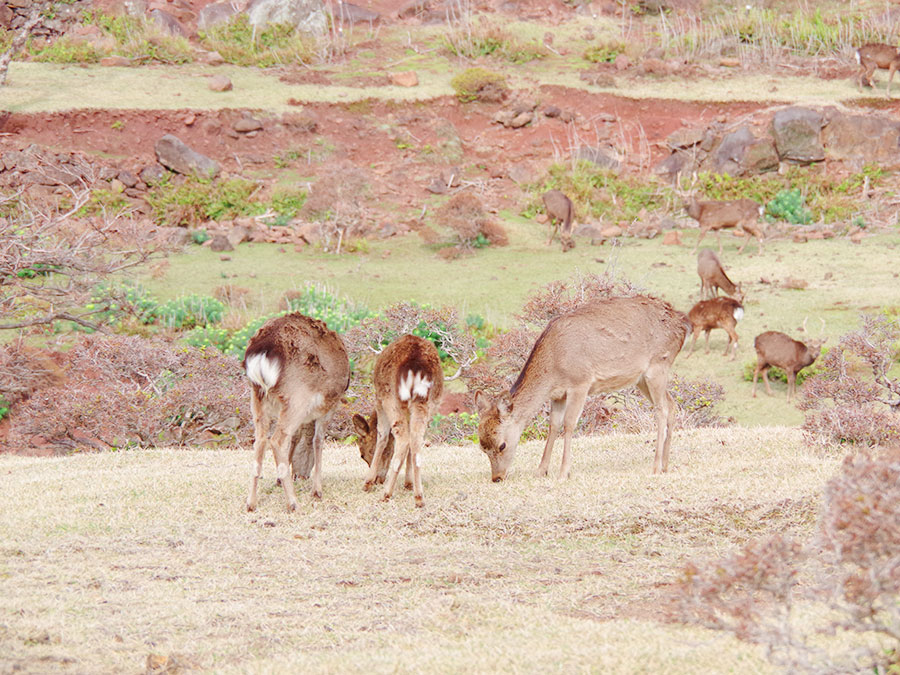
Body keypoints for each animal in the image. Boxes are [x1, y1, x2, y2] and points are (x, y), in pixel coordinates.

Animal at [244, 312, 350, 512]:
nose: (301, 474)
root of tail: (265, 350)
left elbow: (295, 437)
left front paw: (279, 480)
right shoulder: (330, 406)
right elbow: (318, 441)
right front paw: (317, 491)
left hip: (257, 398)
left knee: (260, 440)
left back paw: (251, 503)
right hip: (297, 397)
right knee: (277, 440)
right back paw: (293, 503)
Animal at [360, 332, 442, 508]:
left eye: (362, 454)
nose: (378, 479)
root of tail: (416, 365)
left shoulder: (379, 400)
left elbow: (382, 436)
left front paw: (368, 482)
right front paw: (408, 483)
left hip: (391, 399)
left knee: (403, 438)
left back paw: (386, 493)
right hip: (428, 402)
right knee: (416, 439)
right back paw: (419, 497)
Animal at [474, 296, 692, 480]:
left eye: (502, 445)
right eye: (482, 448)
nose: (497, 478)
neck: (554, 368)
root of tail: (683, 324)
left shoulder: (580, 383)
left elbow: (569, 424)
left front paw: (564, 472)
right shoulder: (558, 395)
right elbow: (554, 425)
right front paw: (541, 470)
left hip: (658, 364)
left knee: (661, 410)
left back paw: (655, 467)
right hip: (642, 378)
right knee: (672, 405)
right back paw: (665, 465)